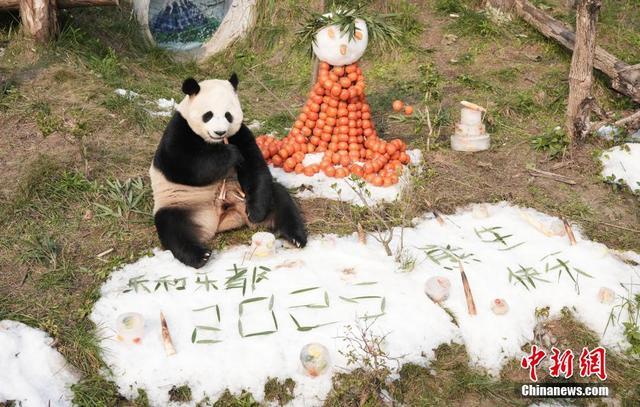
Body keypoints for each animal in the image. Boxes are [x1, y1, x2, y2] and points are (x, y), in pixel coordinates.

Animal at [151, 74, 308, 270]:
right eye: (208, 115)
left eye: (228, 115)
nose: (220, 132)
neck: (214, 142)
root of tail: (221, 220)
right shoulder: (179, 130)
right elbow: (183, 165)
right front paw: (230, 154)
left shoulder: (240, 133)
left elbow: (255, 167)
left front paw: (256, 213)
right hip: (180, 202)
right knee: (173, 227)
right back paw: (200, 256)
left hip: (243, 197)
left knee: (280, 199)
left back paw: (296, 237)